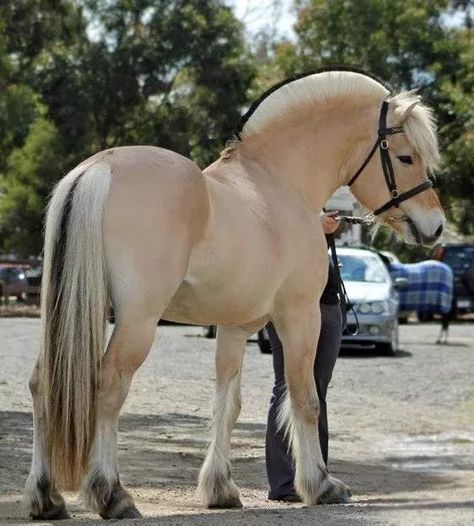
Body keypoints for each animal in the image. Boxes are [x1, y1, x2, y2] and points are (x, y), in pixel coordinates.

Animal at [23, 68, 444, 520]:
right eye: (405, 157)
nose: (436, 226)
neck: (279, 182)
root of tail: (99, 169)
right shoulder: (299, 317)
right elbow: (305, 398)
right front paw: (322, 485)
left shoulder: (234, 326)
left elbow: (228, 403)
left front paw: (220, 489)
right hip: (137, 321)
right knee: (109, 384)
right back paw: (113, 495)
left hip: (72, 311)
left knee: (41, 384)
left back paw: (46, 498)